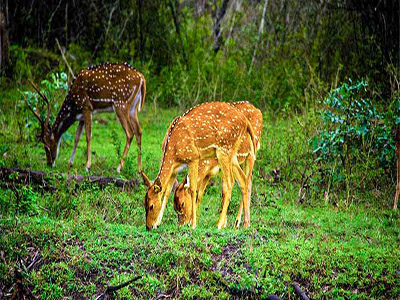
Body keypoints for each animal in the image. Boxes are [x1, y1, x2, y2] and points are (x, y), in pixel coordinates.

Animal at [141, 102, 256, 231]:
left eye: (151, 206)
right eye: (144, 204)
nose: (148, 226)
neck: (173, 149)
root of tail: (245, 122)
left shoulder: (193, 157)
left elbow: (193, 189)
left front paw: (193, 224)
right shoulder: (175, 169)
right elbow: (167, 192)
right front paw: (158, 222)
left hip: (224, 150)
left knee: (230, 182)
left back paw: (220, 224)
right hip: (233, 155)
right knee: (244, 180)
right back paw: (245, 224)